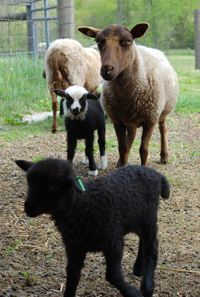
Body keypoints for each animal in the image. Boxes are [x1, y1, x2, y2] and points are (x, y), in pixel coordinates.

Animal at [14, 157, 170, 296]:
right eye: (29, 183)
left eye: (54, 186)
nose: (28, 207)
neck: (84, 205)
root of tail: (156, 174)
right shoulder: (74, 248)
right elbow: (72, 275)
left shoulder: (113, 242)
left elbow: (112, 275)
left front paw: (134, 293)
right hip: (137, 219)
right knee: (143, 241)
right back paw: (138, 268)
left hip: (148, 217)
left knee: (152, 248)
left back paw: (147, 287)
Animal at [77, 23, 179, 165]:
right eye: (98, 41)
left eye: (128, 41)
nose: (107, 69)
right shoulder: (117, 120)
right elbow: (122, 147)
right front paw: (122, 163)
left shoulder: (150, 119)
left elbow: (144, 150)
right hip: (131, 117)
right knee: (131, 135)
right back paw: (121, 160)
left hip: (163, 110)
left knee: (163, 129)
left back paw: (164, 156)